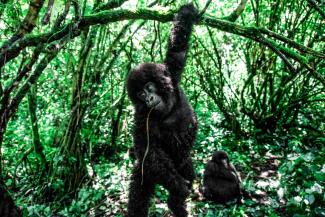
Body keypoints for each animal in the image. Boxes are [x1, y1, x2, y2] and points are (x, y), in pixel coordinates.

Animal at [126, 3, 197, 217]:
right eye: (140, 94)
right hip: (152, 172)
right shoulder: (141, 116)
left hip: (183, 162)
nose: (148, 98)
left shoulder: (170, 74)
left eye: (148, 87)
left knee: (187, 169)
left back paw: (176, 203)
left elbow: (178, 47)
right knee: (141, 183)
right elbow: (148, 151)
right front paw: (179, 186)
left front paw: (187, 11)